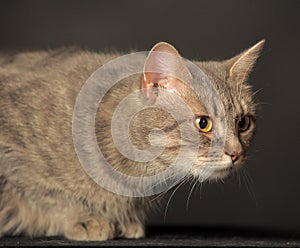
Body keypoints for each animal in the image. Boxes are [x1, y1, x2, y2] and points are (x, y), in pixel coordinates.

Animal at [0, 40, 264, 240]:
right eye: (203, 123)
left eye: (243, 123)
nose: (236, 153)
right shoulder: (16, 160)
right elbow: (49, 195)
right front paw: (84, 217)